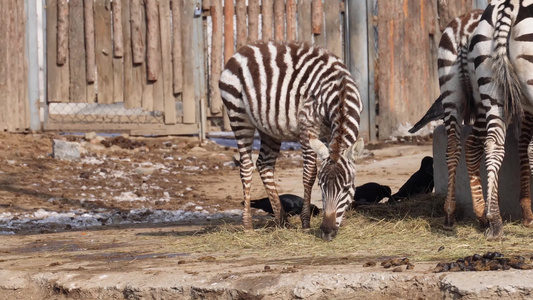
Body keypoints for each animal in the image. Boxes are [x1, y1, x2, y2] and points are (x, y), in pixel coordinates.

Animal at [218, 41, 364, 240]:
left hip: (269, 128)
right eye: (321, 186)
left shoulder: (328, 134)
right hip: (238, 115)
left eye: (347, 187)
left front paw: (344, 222)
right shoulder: (307, 127)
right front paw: (305, 223)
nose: (327, 231)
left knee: (264, 164)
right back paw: (247, 225)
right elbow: (309, 174)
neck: (340, 92)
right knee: (246, 167)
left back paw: (282, 219)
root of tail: (242, 50)